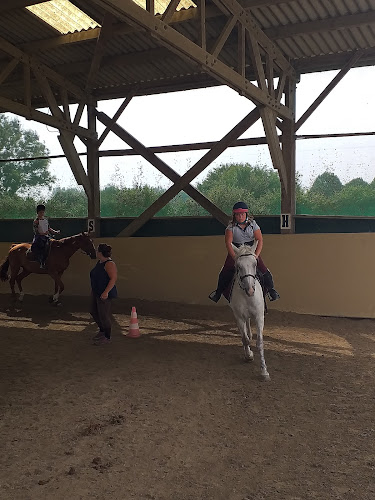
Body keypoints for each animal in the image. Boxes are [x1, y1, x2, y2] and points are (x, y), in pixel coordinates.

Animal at [229, 244, 270, 380]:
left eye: (255, 264)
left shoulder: (259, 317)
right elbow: (245, 339)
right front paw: (249, 355)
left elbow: (260, 343)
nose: (250, 290)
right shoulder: (239, 317)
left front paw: (264, 371)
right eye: (238, 266)